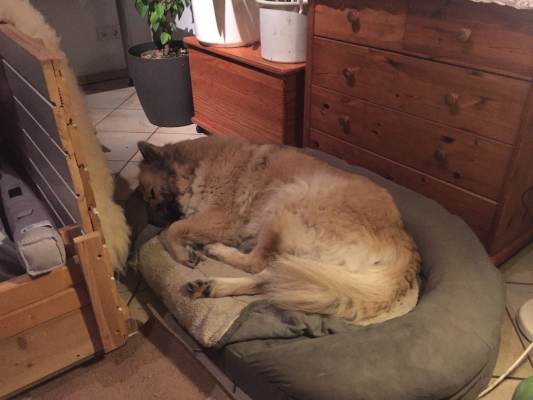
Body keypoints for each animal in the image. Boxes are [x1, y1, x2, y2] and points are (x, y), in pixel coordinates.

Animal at [137, 135, 420, 323]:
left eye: (151, 194)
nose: (149, 222)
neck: (196, 167)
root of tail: (403, 244)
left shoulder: (222, 217)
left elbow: (175, 228)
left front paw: (182, 254)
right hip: (302, 263)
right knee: (271, 280)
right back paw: (212, 286)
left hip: (289, 198)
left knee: (257, 264)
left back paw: (216, 251)